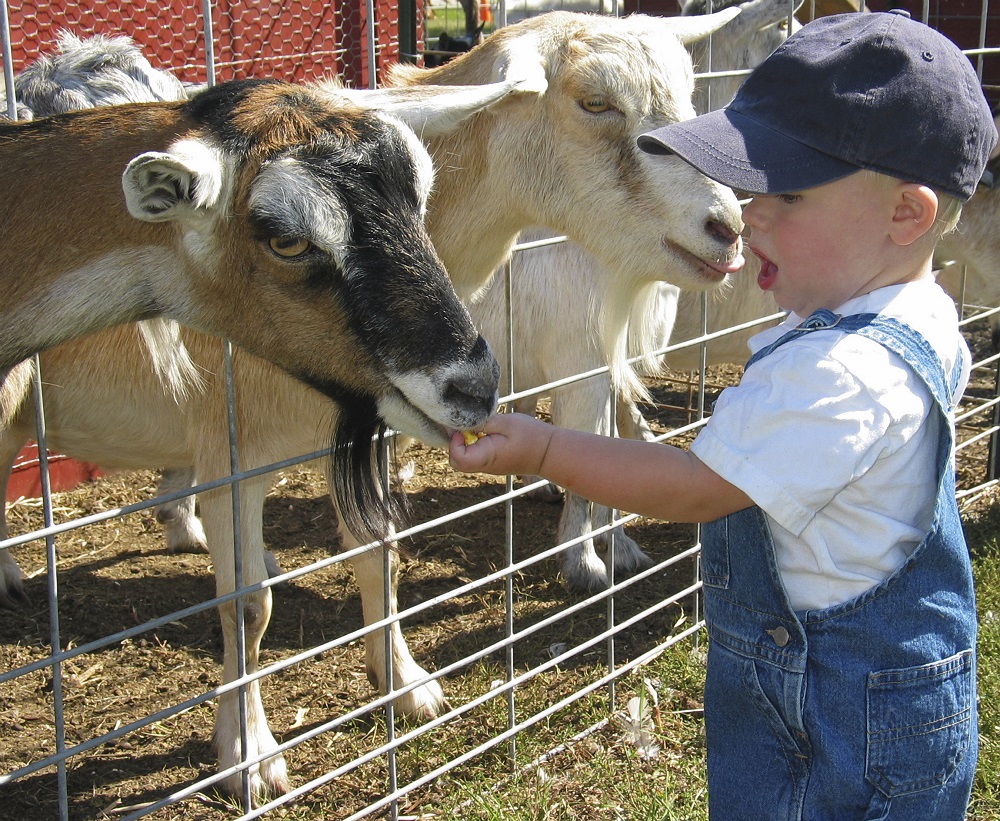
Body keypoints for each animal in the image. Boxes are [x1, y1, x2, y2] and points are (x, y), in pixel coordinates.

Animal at [0, 9, 748, 796]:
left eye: (687, 91)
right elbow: (247, 605)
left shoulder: (368, 430)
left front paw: (405, 683)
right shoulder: (231, 453)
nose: (727, 228)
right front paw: (250, 755)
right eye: (593, 102)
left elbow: (379, 555)